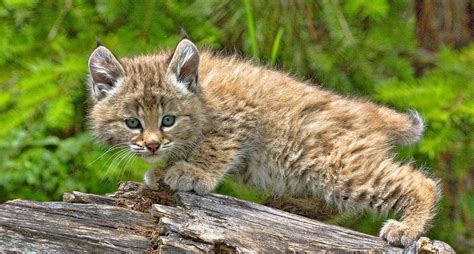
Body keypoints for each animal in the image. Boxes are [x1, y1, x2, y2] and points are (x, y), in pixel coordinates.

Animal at [88, 39, 440, 246]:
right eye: (132, 123)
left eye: (168, 120)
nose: (151, 146)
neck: (202, 95)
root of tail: (370, 110)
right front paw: (166, 169)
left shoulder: (241, 112)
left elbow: (215, 146)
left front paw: (192, 171)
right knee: (333, 202)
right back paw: (291, 205)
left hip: (337, 165)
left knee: (420, 181)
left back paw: (407, 229)